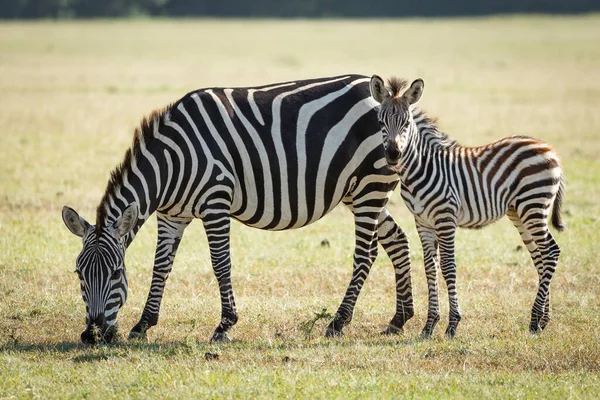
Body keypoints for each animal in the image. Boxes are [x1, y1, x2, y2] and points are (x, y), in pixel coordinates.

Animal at [62, 75, 418, 344]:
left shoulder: (215, 202)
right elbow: (160, 266)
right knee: (397, 241)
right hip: (360, 190)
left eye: (115, 273)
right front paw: (143, 325)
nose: (92, 335)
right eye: (79, 273)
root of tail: (391, 98)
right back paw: (399, 319)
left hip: (370, 185)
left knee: (365, 254)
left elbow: (221, 264)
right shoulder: (172, 215)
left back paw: (338, 322)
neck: (172, 163)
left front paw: (225, 325)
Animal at [370, 76, 568, 338]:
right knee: (541, 257)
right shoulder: (423, 222)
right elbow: (430, 268)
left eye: (406, 123)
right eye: (381, 122)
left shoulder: (445, 218)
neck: (421, 168)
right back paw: (543, 320)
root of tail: (550, 149)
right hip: (520, 212)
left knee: (551, 252)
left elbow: (448, 267)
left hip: (534, 205)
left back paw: (535, 320)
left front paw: (452, 324)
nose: (393, 154)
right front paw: (429, 326)